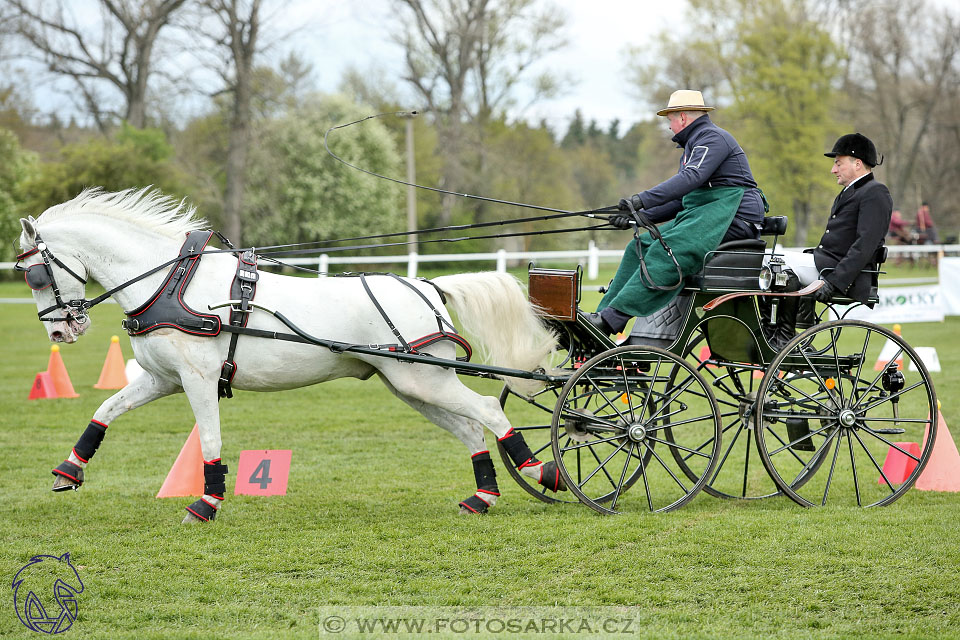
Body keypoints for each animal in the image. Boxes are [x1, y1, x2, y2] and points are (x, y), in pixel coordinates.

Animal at [16, 188, 564, 524]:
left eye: (36, 274)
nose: (61, 329)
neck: (171, 280)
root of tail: (427, 284)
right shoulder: (161, 378)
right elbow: (106, 409)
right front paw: (70, 469)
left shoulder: (196, 378)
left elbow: (209, 438)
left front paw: (207, 500)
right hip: (413, 385)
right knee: (472, 429)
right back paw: (482, 495)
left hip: (424, 380)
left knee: (489, 410)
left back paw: (544, 472)